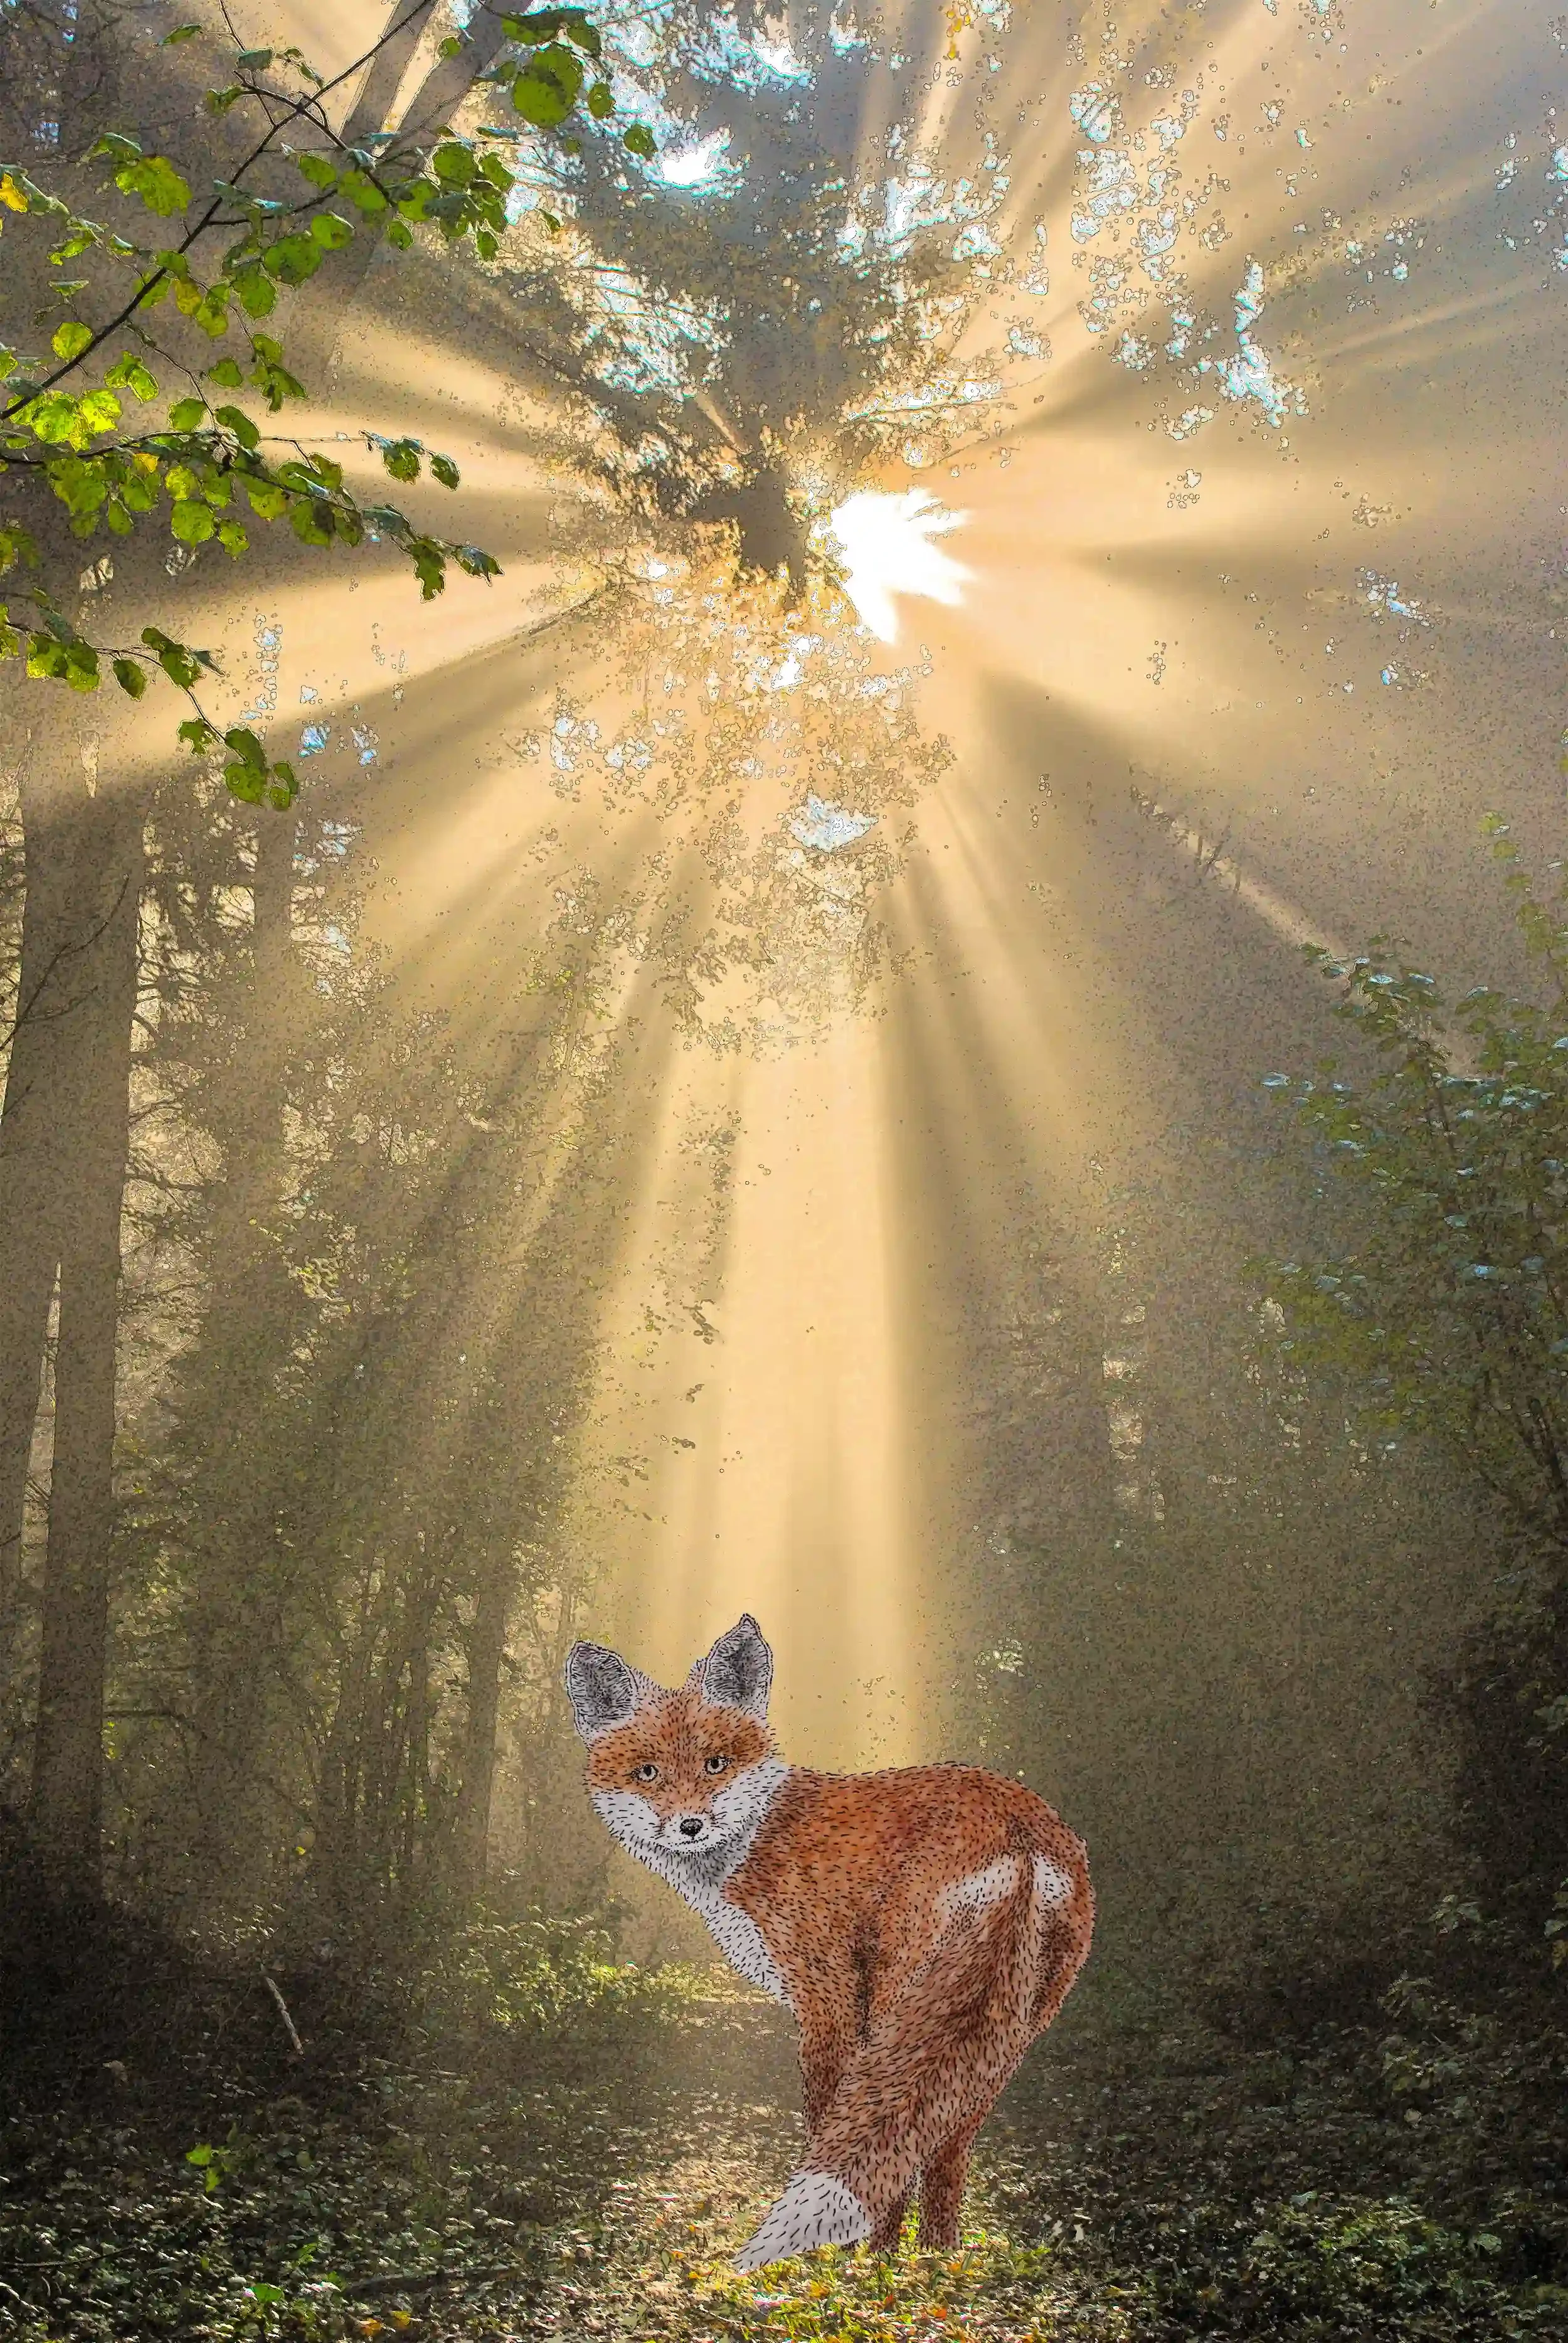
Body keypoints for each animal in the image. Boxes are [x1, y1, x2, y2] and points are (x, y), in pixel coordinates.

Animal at [563, 1614, 1093, 2271]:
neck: (754, 1845)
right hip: (1012, 2028)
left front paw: (827, 2258)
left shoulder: (827, 1998)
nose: (691, 1825)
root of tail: (1016, 1826)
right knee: (945, 2148)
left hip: (906, 1995)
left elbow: (823, 2121)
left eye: (716, 1763)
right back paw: (935, 2263)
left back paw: (873, 2263)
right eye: (648, 1772)